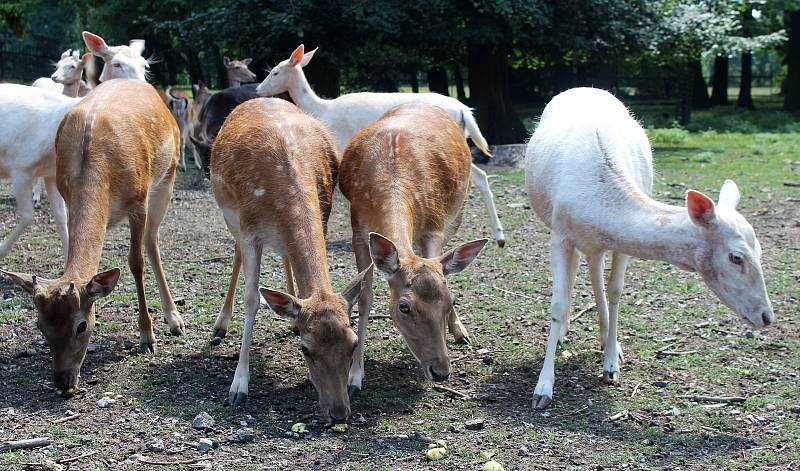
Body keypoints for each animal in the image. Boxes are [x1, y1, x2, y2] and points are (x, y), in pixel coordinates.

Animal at [0, 31, 183, 396]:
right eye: (40, 325)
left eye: (81, 326)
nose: (62, 381)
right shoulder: (66, 192)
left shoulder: (138, 201)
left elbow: (135, 263)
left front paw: (148, 336)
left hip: (166, 178)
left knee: (153, 241)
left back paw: (174, 319)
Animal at [206, 97, 368, 422]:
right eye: (306, 350)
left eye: (353, 343)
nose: (339, 412)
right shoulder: (250, 232)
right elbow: (251, 300)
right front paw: (238, 387)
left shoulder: (323, 216)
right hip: (231, 218)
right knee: (236, 253)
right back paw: (219, 327)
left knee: (286, 257)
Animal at [256, 45, 506, 247]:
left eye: (275, 71)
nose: (258, 90)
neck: (321, 110)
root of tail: (464, 110)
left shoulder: (341, 147)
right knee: (480, 175)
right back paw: (497, 236)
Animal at [338, 102, 488, 394]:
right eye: (403, 307)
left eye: (451, 301)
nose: (441, 372)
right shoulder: (358, 231)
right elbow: (365, 297)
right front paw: (354, 378)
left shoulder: (435, 227)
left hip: (457, 211)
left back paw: (461, 333)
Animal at [520, 87, 772, 410]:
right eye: (736, 257)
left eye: (761, 250)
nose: (766, 316)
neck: (597, 204)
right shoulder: (560, 234)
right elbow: (557, 303)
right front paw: (543, 389)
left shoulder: (619, 245)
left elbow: (615, 291)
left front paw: (611, 365)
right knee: (581, 269)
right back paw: (565, 332)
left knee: (594, 272)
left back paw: (607, 339)